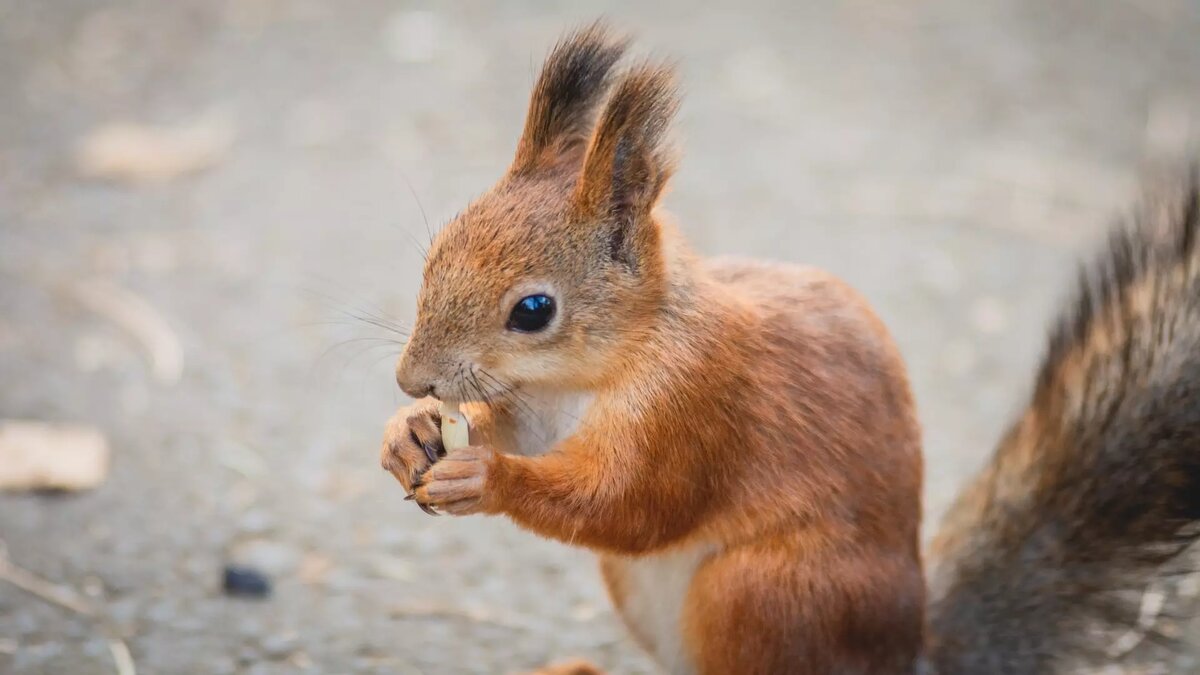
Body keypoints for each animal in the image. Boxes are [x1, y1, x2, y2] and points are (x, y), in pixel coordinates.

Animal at [379, 22, 1200, 672]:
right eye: (437, 251)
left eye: (534, 310)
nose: (411, 379)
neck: (589, 375)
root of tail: (908, 656)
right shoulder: (533, 405)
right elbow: (518, 433)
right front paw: (408, 435)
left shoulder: (697, 404)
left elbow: (630, 505)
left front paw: (484, 475)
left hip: (765, 591)